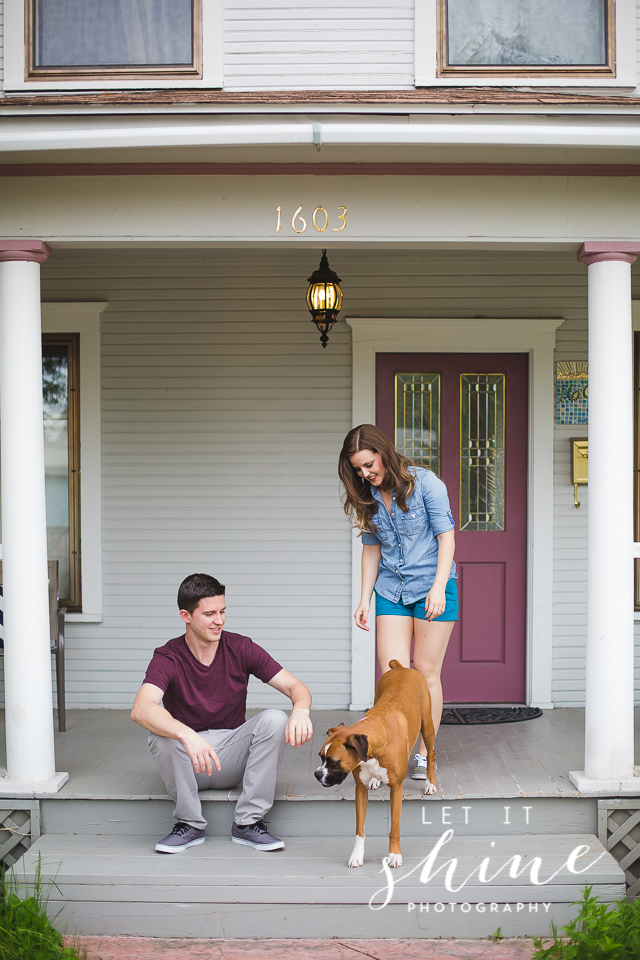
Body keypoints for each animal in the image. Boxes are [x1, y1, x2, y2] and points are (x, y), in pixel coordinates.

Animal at [314, 660, 438, 872]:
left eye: (333, 762)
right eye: (321, 757)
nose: (316, 774)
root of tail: (401, 667)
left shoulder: (396, 789)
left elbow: (394, 828)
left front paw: (394, 855)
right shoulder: (360, 790)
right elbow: (359, 829)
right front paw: (357, 856)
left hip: (427, 725)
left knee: (431, 753)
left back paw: (430, 783)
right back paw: (375, 780)